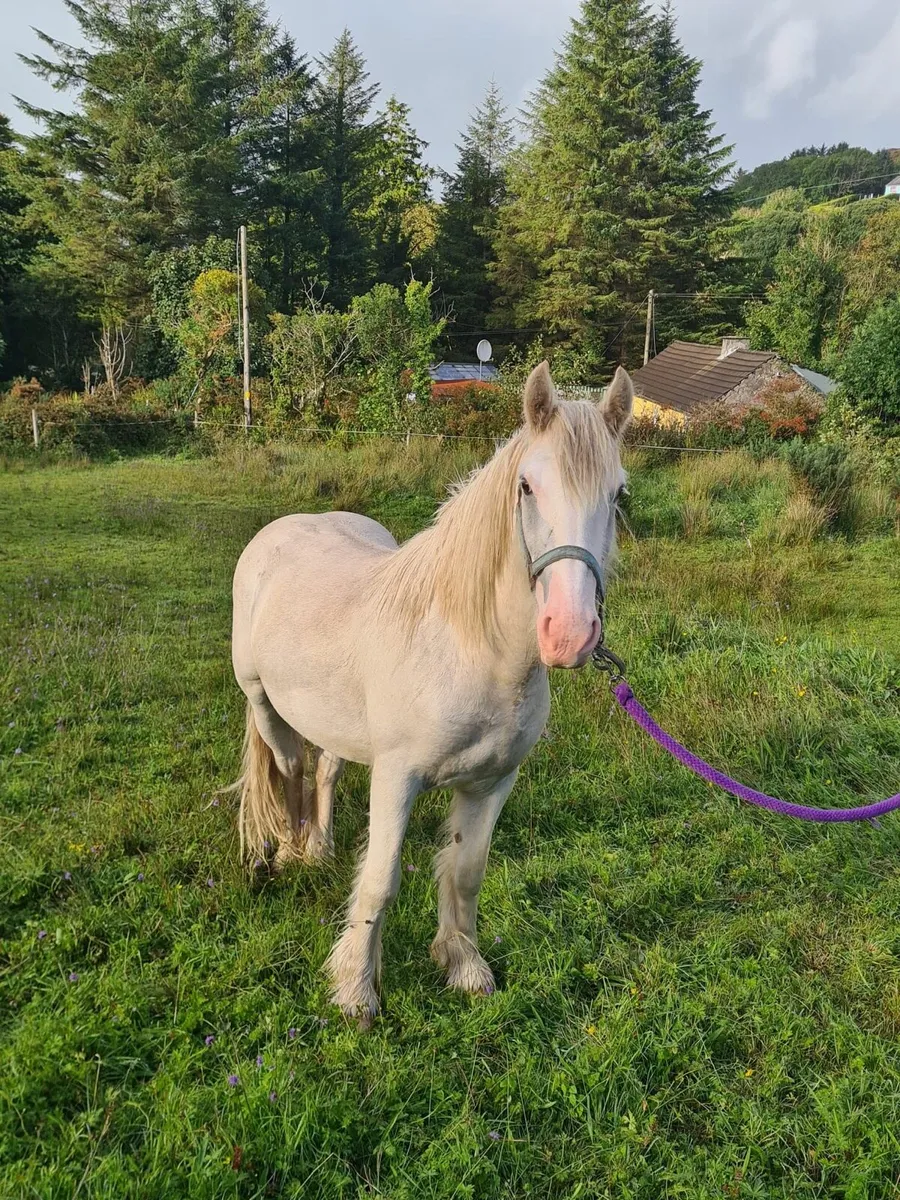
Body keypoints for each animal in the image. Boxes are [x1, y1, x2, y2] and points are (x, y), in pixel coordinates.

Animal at [230, 361, 634, 1023]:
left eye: (618, 494)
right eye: (527, 487)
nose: (570, 634)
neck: (471, 651)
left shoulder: (491, 782)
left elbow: (466, 871)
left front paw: (463, 964)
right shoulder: (398, 777)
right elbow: (381, 879)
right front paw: (357, 992)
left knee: (326, 769)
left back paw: (320, 846)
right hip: (263, 702)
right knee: (290, 768)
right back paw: (292, 852)